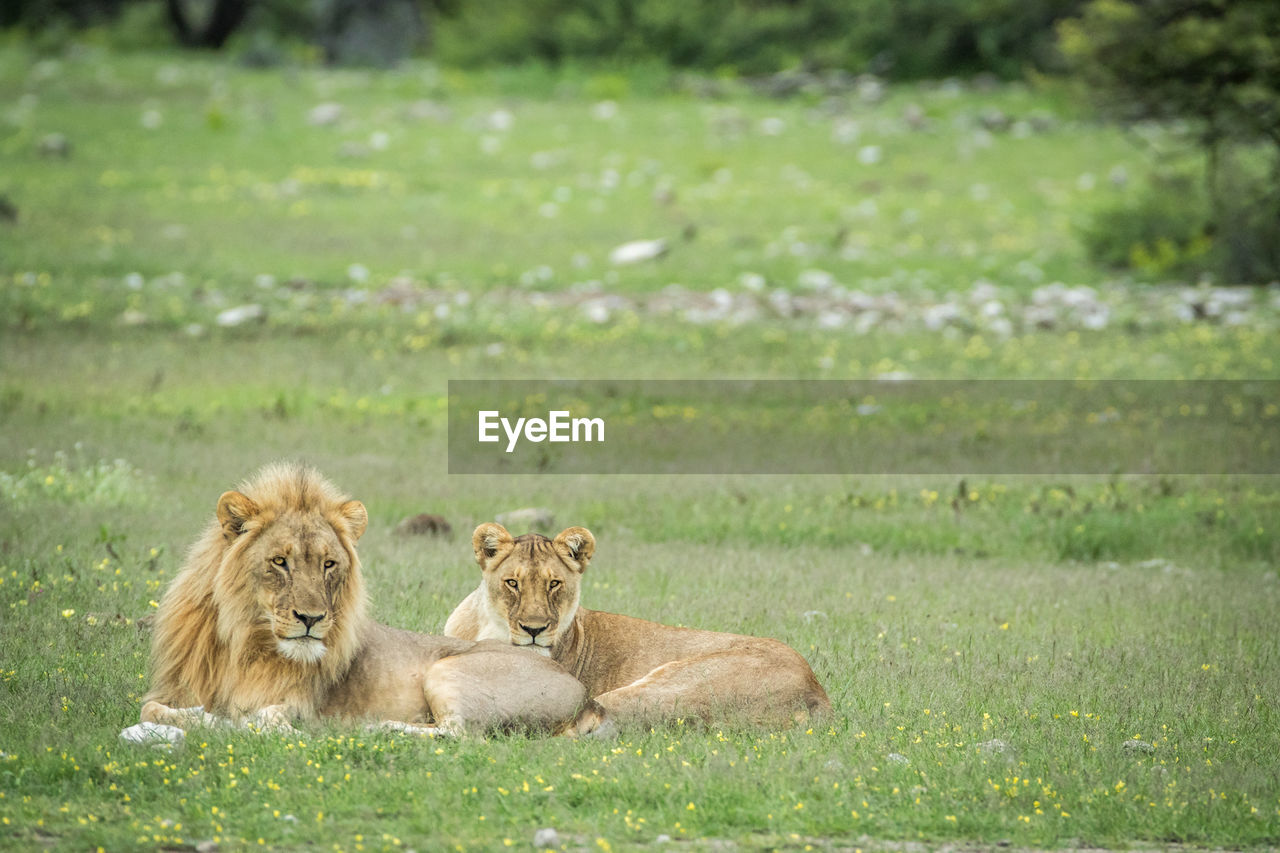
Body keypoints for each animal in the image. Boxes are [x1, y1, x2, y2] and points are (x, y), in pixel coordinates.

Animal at [140, 461, 599, 732]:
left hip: (445, 671)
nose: (311, 619)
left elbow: (264, 718)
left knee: (458, 734)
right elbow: (153, 710)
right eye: (280, 562)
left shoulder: (298, 703)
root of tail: (580, 687)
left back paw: (375, 728)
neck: (245, 642)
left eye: (329, 564)